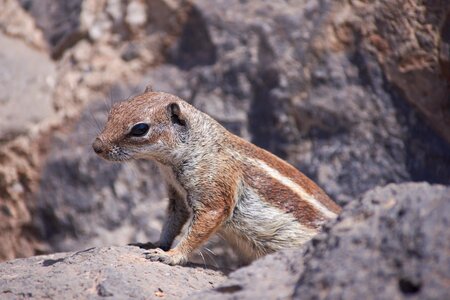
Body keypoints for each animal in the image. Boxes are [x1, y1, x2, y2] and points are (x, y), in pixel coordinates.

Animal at [92, 91, 342, 264]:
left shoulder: (214, 188)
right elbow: (172, 222)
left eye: (140, 129)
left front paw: (172, 255)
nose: (96, 146)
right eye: (114, 109)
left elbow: (202, 226)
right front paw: (155, 244)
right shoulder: (177, 197)